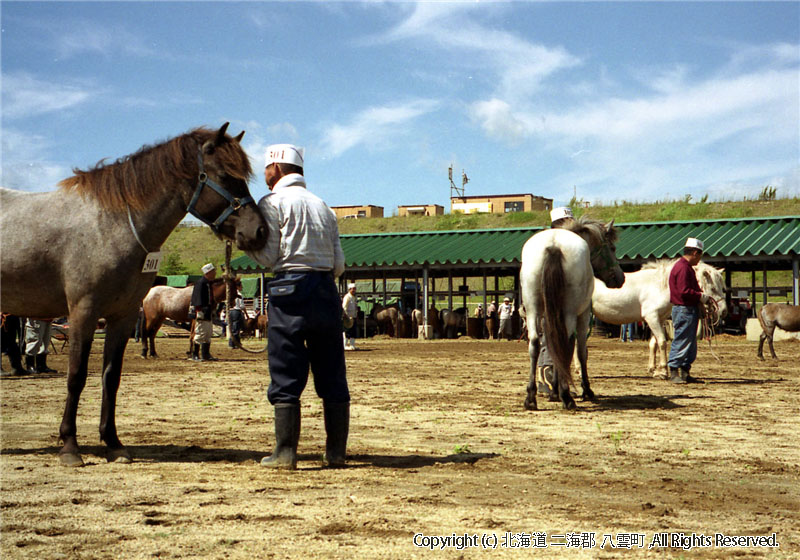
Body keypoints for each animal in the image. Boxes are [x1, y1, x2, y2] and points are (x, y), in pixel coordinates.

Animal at [0, 123, 268, 468]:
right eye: (224, 175)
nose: (259, 231)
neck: (110, 226)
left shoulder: (123, 316)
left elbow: (110, 377)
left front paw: (113, 443)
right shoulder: (83, 313)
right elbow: (77, 376)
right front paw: (70, 446)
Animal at [520, 217, 624, 410]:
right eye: (612, 248)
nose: (621, 278)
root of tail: (553, 245)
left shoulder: (547, 316)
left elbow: (551, 349)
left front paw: (553, 391)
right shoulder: (583, 316)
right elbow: (581, 352)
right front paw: (586, 390)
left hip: (533, 309)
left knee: (535, 344)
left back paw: (531, 397)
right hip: (570, 311)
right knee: (567, 343)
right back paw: (567, 396)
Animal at [592, 262, 728, 376]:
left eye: (722, 288)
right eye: (713, 288)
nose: (724, 311)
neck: (660, 287)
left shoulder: (659, 319)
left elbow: (654, 343)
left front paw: (652, 369)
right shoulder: (651, 317)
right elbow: (662, 341)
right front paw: (663, 371)